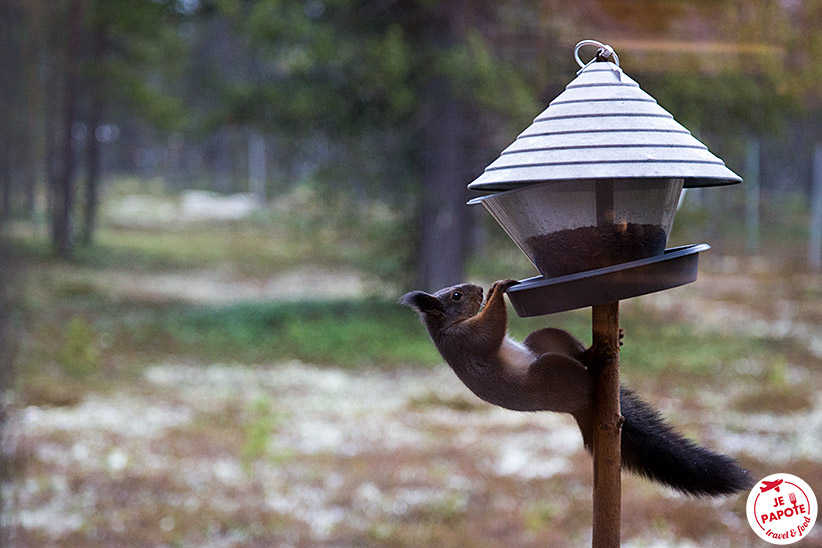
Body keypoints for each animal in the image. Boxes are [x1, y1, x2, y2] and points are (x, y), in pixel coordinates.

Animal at [402, 278, 756, 496]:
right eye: (456, 296)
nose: (477, 288)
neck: (446, 327)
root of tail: (581, 406)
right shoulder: (466, 341)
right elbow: (490, 330)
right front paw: (499, 290)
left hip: (544, 339)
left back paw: (593, 352)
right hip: (552, 371)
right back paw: (596, 365)